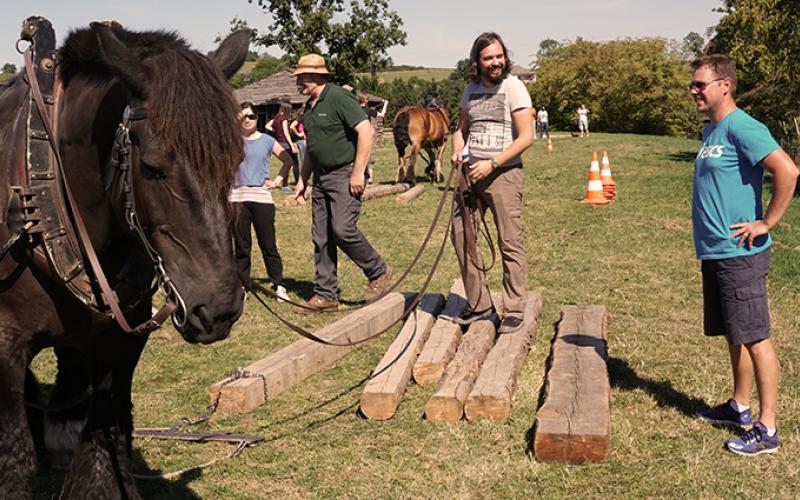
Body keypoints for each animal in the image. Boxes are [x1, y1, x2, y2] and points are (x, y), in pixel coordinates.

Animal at [0, 20, 248, 500]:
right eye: (151, 166)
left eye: (235, 160)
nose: (220, 308)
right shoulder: (5, 346)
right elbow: (14, 460)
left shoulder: (121, 341)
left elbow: (106, 441)